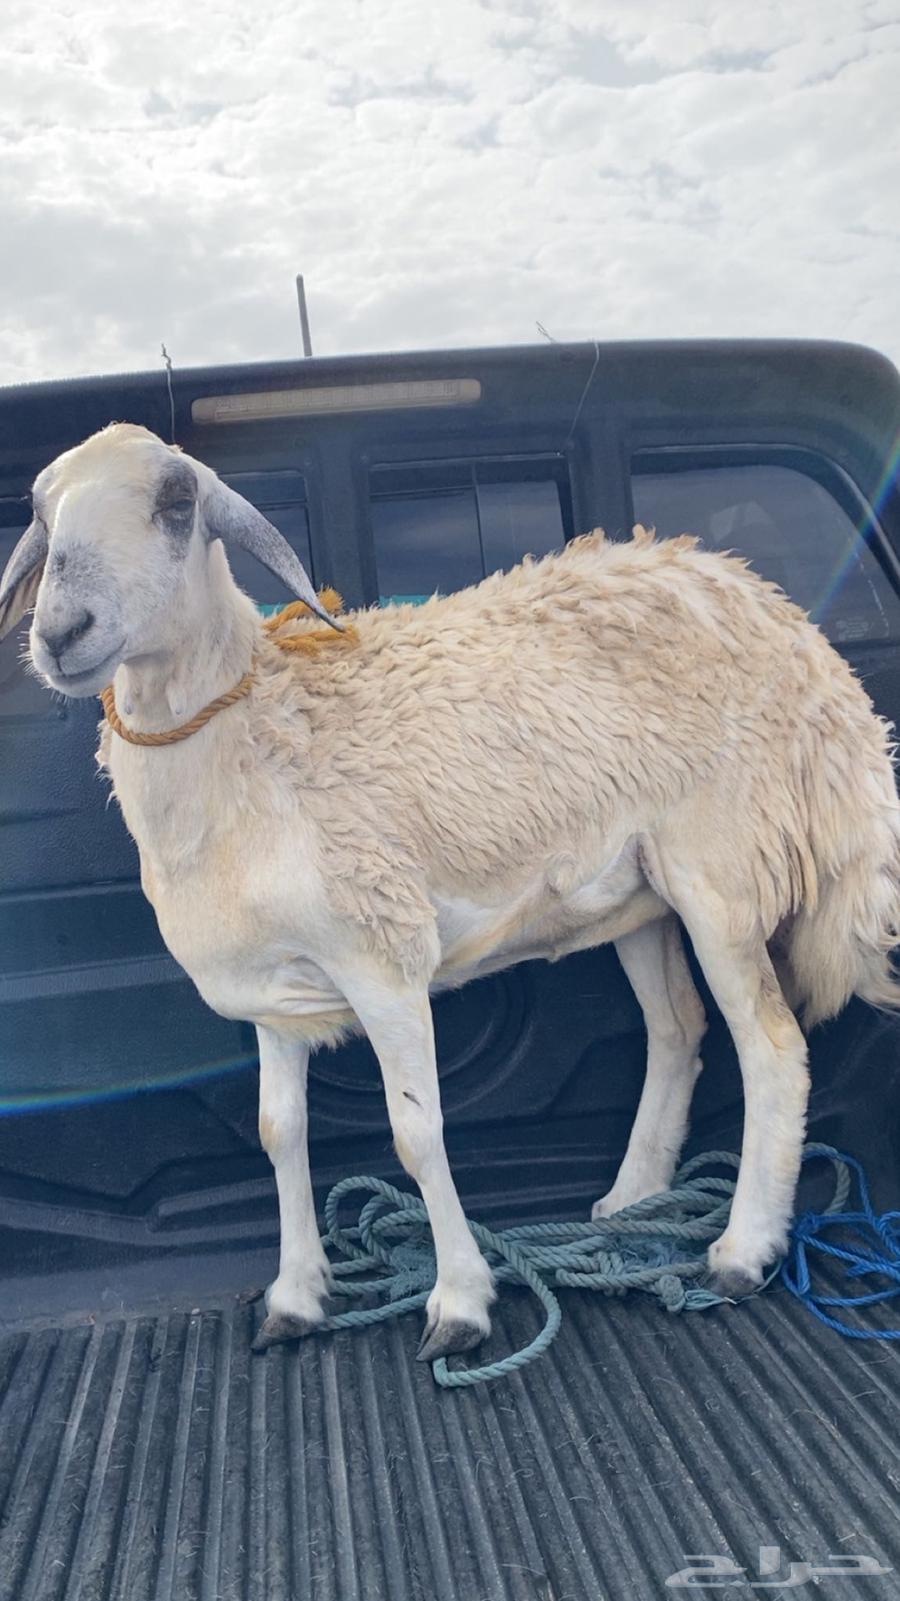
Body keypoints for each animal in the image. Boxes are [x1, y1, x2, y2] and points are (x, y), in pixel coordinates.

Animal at [3, 420, 899, 1360]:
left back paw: (741, 1248)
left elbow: (417, 1132)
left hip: (720, 859)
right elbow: (279, 1134)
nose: (61, 631)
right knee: (677, 1029)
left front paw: (460, 1300)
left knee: (771, 1044)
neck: (255, 738)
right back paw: (634, 1201)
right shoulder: (273, 992)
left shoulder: (382, 952)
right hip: (639, 888)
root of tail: (786, 623)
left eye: (177, 504)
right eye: (40, 511)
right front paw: (296, 1295)